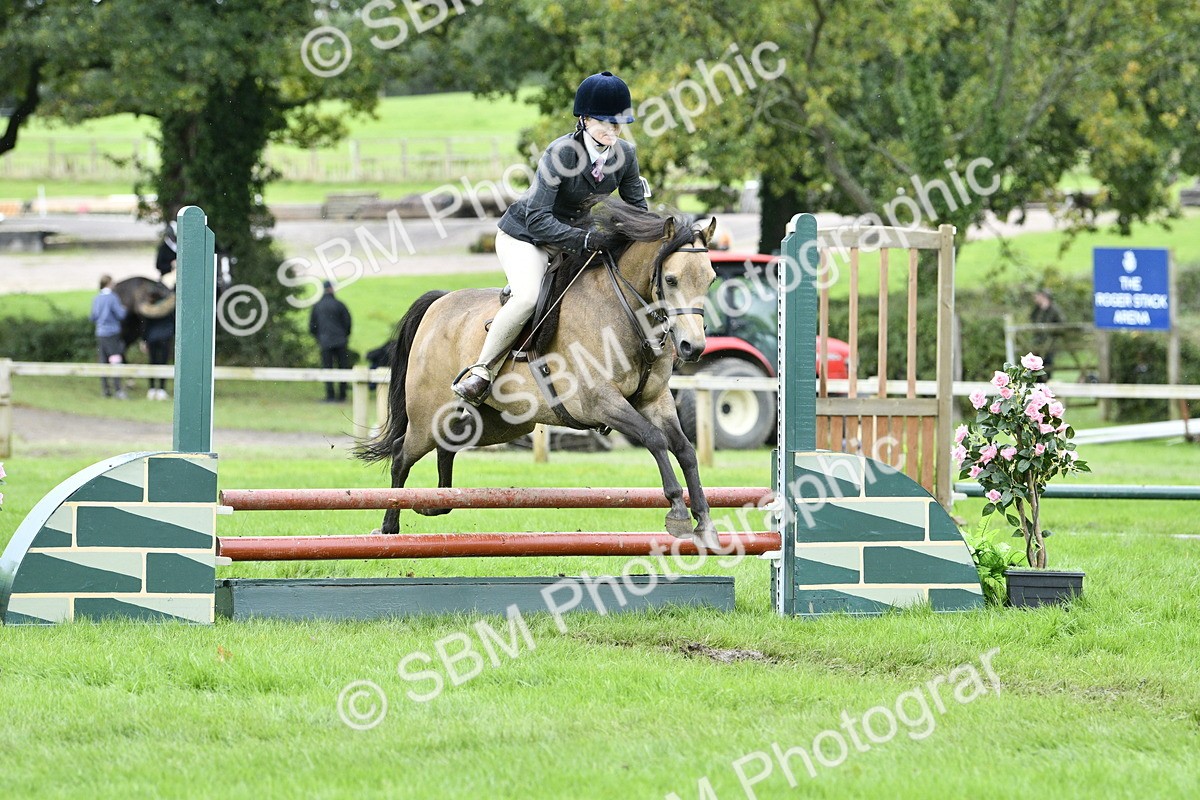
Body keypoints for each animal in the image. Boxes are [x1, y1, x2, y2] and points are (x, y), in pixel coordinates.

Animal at [356, 198, 720, 543]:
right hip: (429, 417)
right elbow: (654, 439)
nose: (693, 347)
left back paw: (434, 503)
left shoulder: (655, 401)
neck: (626, 313)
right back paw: (389, 526)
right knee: (402, 454)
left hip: (494, 424)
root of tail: (438, 303)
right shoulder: (601, 401)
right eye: (671, 280)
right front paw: (677, 511)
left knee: (447, 448)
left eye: (710, 279)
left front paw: (704, 521)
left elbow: (685, 449)